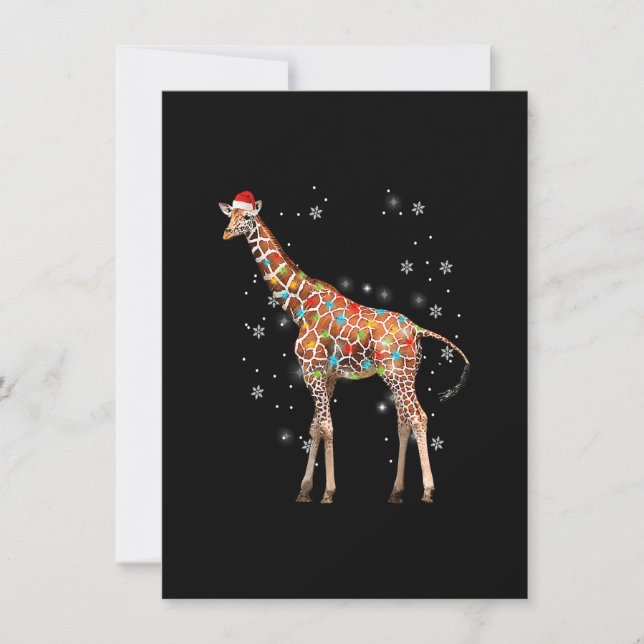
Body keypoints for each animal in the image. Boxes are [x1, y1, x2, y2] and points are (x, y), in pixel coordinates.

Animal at [220, 191, 470, 505]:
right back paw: (396, 492)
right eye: (230, 215)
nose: (227, 233)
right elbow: (315, 427)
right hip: (405, 376)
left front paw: (328, 492)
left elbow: (326, 426)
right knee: (403, 421)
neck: (299, 305)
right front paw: (304, 490)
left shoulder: (312, 371)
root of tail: (417, 329)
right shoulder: (327, 376)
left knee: (418, 417)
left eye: (247, 216)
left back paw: (427, 491)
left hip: (398, 375)